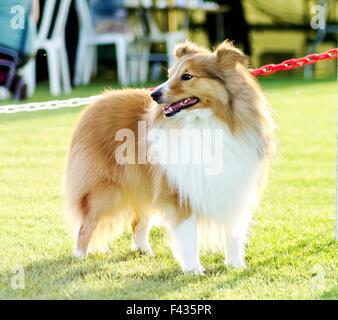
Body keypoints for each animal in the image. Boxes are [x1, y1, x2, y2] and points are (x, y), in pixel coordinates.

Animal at [64, 39, 274, 272]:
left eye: (187, 76)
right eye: (170, 74)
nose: (154, 95)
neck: (207, 122)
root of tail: (95, 102)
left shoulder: (235, 186)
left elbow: (234, 232)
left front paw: (236, 266)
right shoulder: (180, 190)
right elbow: (188, 236)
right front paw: (194, 270)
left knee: (138, 223)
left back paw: (144, 252)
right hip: (105, 191)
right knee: (86, 226)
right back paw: (79, 257)